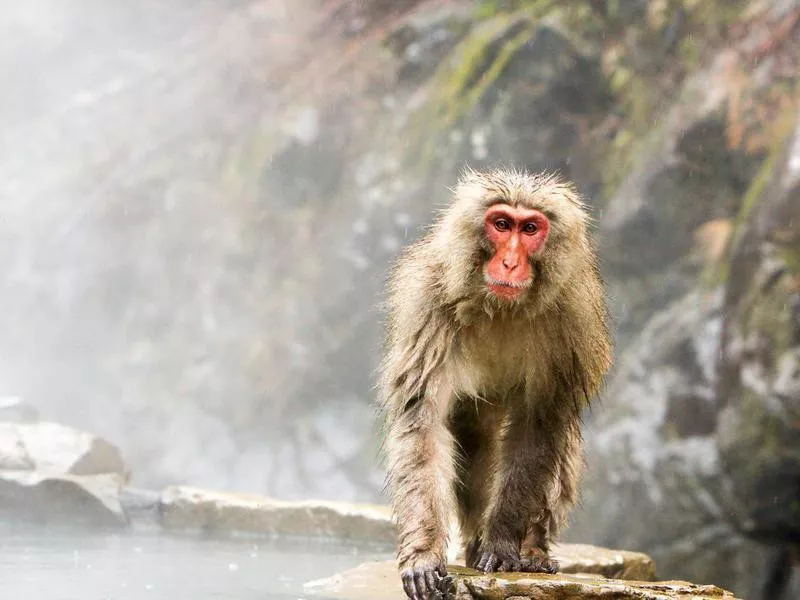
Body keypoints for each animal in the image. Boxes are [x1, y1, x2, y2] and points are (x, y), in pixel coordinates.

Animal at [378, 168, 608, 600]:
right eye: (501, 224)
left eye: (530, 228)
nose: (510, 261)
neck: (501, 308)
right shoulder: (427, 304)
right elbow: (423, 423)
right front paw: (423, 554)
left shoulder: (574, 320)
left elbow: (537, 428)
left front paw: (503, 544)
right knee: (475, 436)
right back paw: (475, 543)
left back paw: (532, 549)